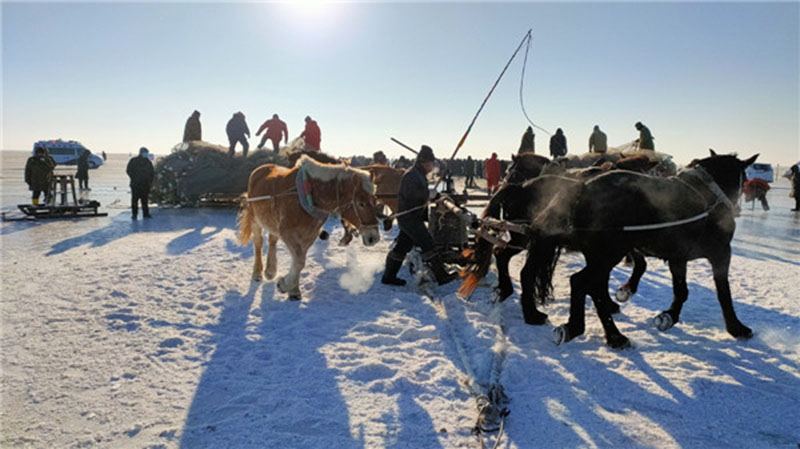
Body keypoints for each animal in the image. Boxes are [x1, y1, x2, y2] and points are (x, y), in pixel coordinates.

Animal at [238, 154, 382, 298]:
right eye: (361, 203)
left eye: (375, 201)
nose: (373, 238)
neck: (309, 196)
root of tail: (259, 170)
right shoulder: (288, 233)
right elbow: (299, 260)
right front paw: (285, 285)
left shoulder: (309, 234)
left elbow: (299, 260)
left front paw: (293, 289)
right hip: (255, 220)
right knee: (258, 243)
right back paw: (257, 273)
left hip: (272, 221)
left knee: (272, 241)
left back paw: (270, 271)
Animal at [524, 152, 756, 348]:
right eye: (743, 178)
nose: (737, 209)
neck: (708, 197)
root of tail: (583, 188)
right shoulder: (721, 254)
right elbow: (723, 293)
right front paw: (736, 327)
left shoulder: (678, 256)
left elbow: (681, 290)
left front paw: (668, 317)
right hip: (609, 253)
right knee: (581, 282)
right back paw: (591, 331)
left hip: (601, 255)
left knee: (593, 287)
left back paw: (606, 333)